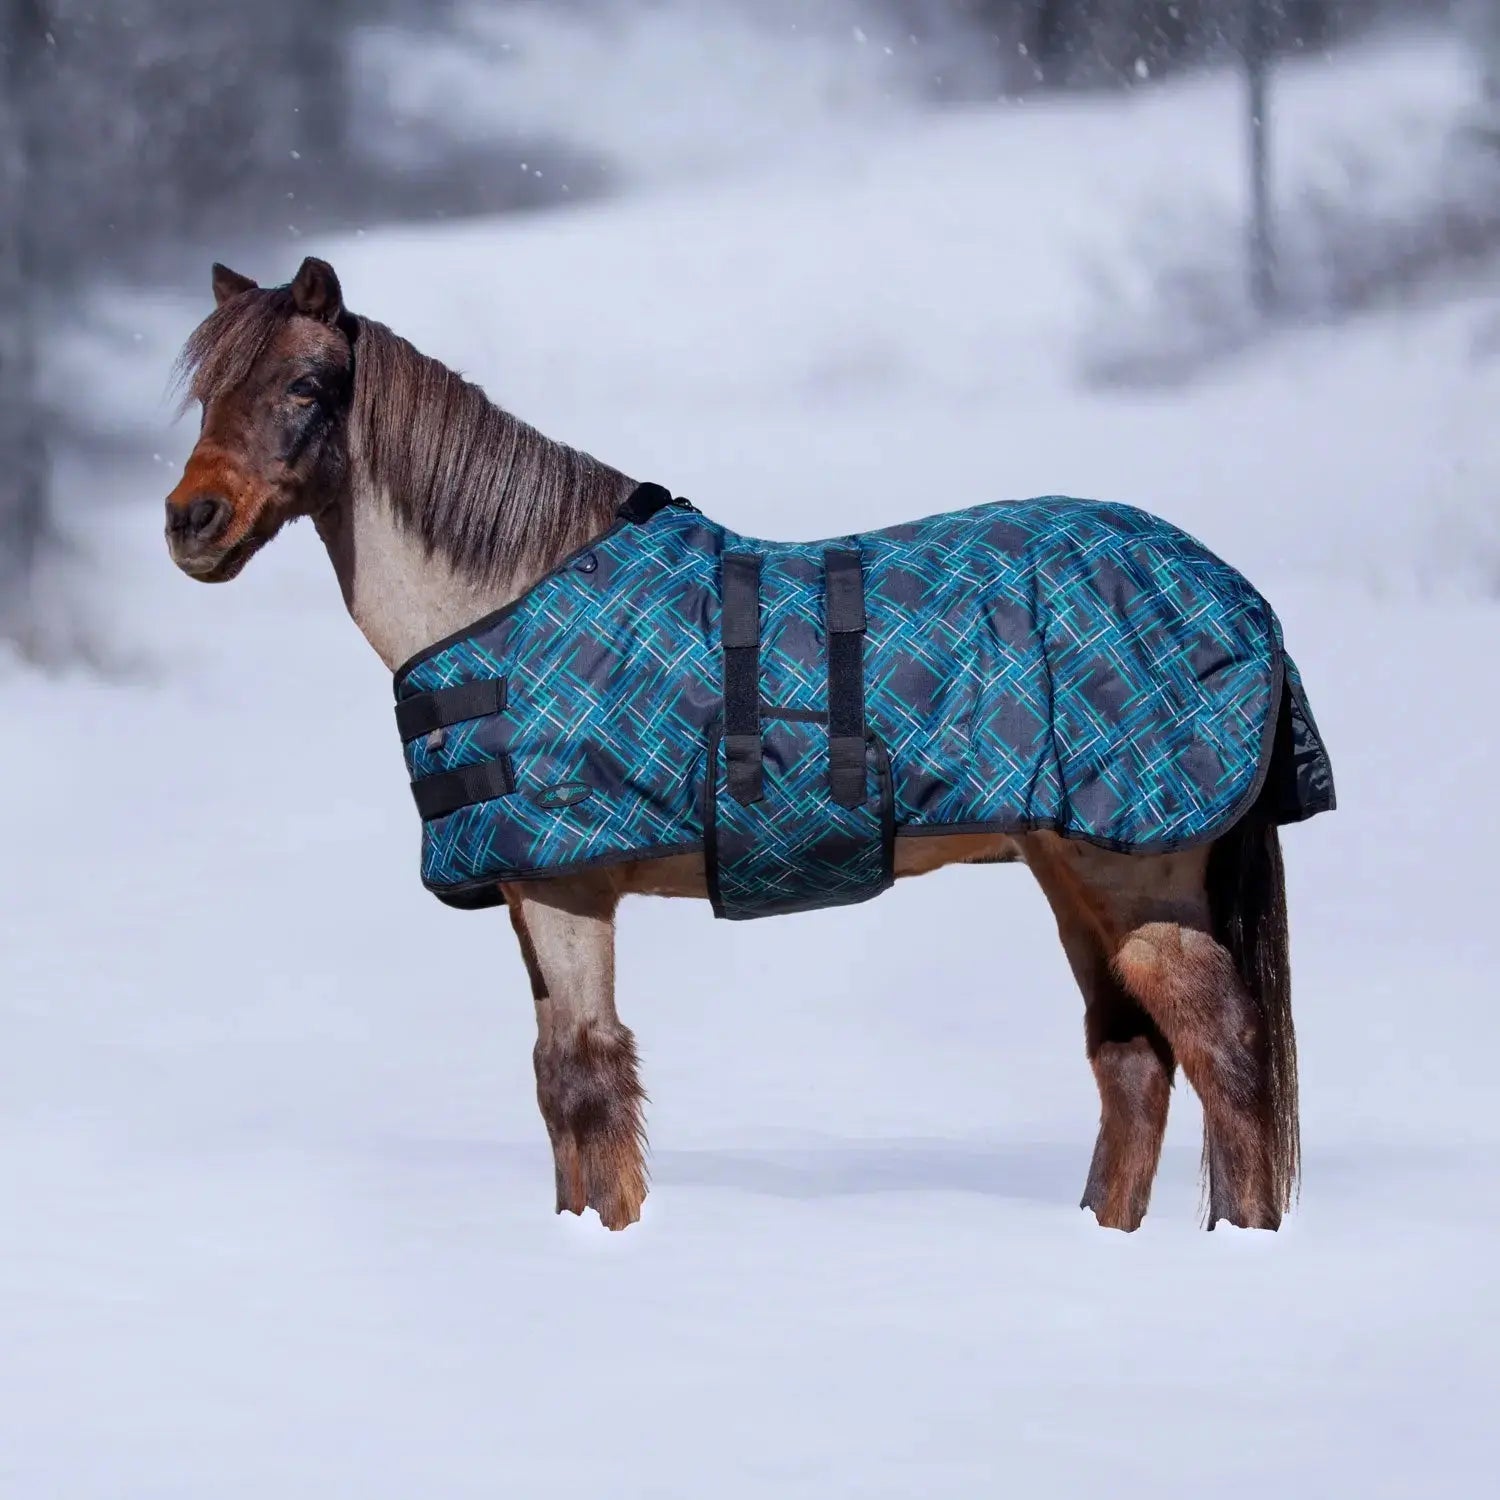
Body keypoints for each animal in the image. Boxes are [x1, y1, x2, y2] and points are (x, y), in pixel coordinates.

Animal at [164, 256, 1334, 1234]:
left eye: (305, 388)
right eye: (207, 392)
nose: (192, 522)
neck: (503, 597)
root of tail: (1241, 597)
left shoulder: (566, 888)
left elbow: (587, 1082)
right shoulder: (524, 892)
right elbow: (552, 1083)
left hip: (1138, 871)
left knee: (1224, 1053)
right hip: (1071, 870)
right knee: (1132, 1060)